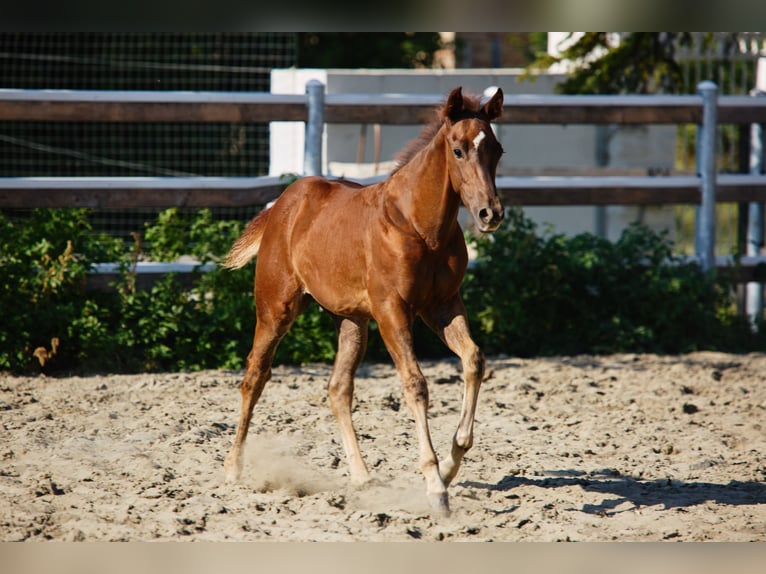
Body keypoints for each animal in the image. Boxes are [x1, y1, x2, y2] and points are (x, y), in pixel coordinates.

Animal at [222, 86, 504, 516]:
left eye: (498, 150)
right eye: (458, 150)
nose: (491, 214)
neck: (420, 228)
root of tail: (283, 204)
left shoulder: (442, 305)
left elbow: (474, 360)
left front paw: (452, 461)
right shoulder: (393, 311)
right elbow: (415, 384)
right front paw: (435, 487)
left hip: (352, 321)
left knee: (338, 388)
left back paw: (362, 477)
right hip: (276, 310)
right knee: (255, 375)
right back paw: (234, 468)